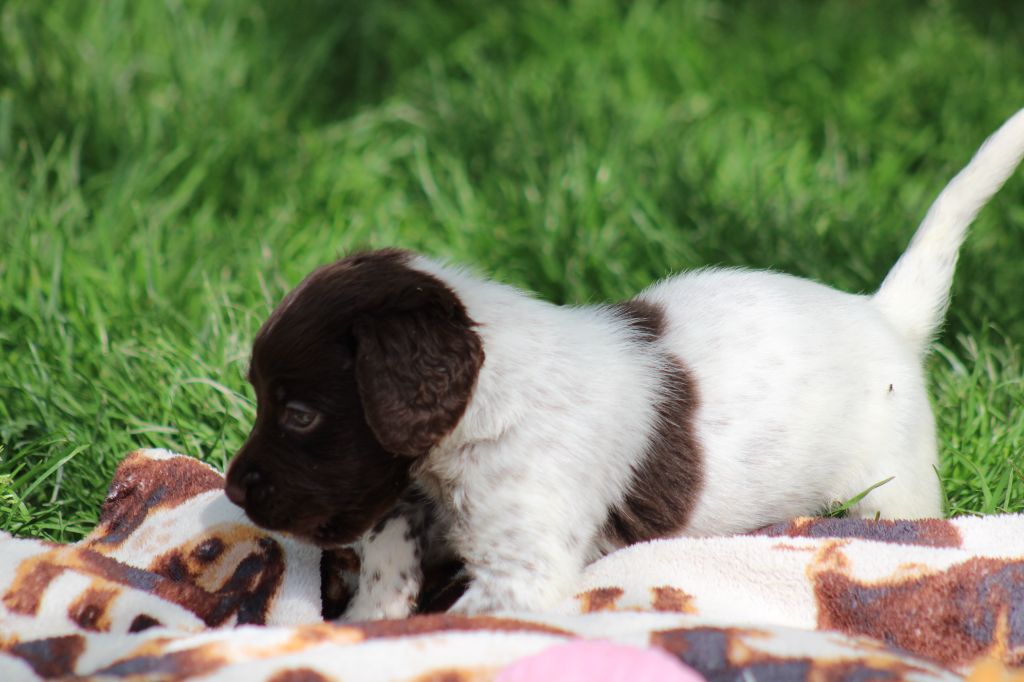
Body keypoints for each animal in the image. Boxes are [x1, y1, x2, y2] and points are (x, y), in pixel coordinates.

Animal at [225, 108, 1024, 618]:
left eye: (299, 414)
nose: (231, 490)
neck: (489, 406)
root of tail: (882, 313)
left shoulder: (526, 569)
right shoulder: (420, 499)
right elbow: (392, 545)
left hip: (894, 492)